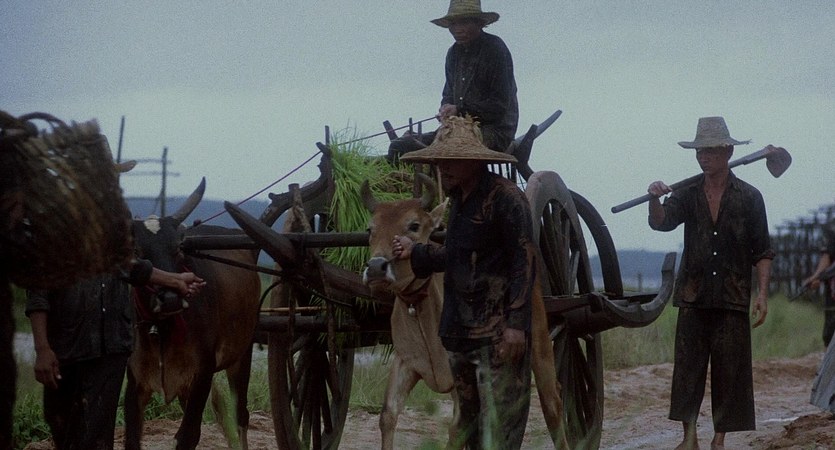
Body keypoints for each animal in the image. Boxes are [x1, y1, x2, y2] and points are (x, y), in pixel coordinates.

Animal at [124, 178, 262, 450]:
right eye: (137, 251)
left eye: (178, 248)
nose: (170, 298)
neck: (162, 332)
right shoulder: (135, 382)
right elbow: (132, 437)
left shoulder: (202, 375)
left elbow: (188, 435)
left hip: (243, 354)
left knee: (241, 415)